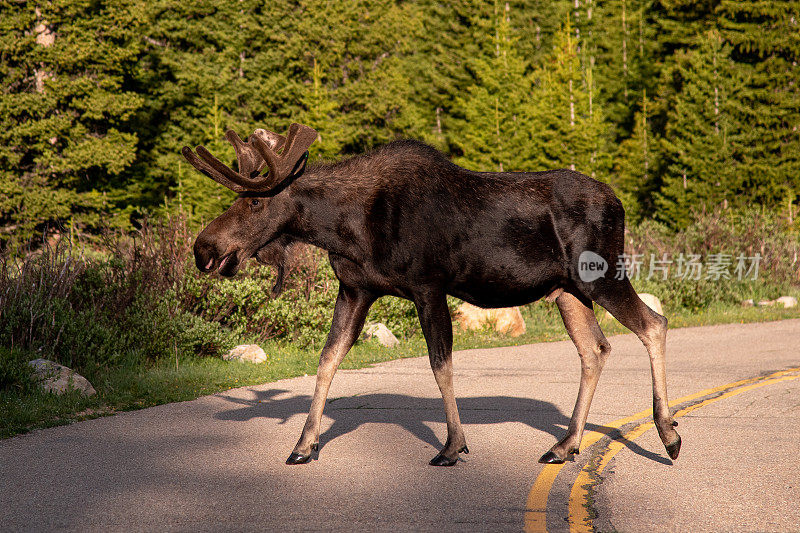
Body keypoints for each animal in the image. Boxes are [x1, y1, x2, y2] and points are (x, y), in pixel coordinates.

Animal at [183, 123, 680, 466]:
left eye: (254, 201)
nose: (204, 248)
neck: (345, 228)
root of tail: (618, 202)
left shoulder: (428, 286)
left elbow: (441, 365)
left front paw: (453, 446)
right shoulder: (356, 289)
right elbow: (327, 361)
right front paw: (304, 445)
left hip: (601, 274)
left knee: (653, 323)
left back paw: (668, 433)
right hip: (567, 290)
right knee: (595, 349)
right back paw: (566, 445)